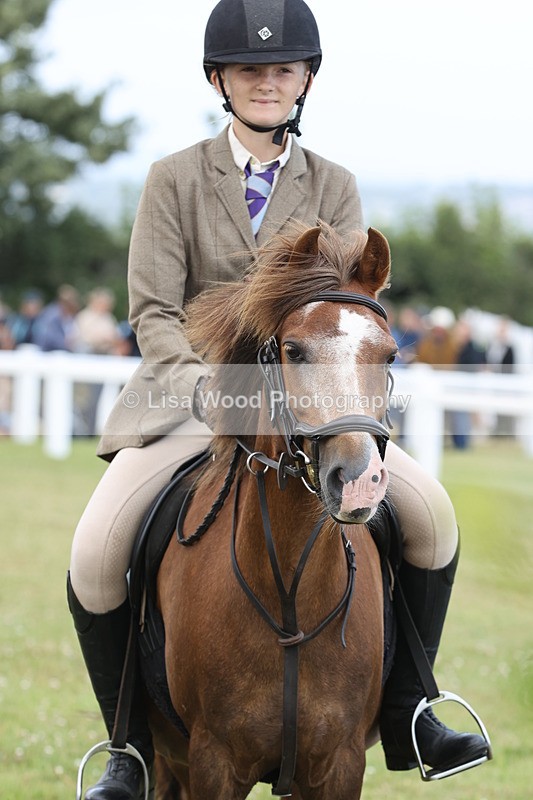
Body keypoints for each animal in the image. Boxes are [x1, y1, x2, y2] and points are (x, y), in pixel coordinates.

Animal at [146, 223, 398, 799]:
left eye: (390, 356)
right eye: (293, 350)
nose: (359, 483)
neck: (290, 598)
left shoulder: (339, 763)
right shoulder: (213, 761)